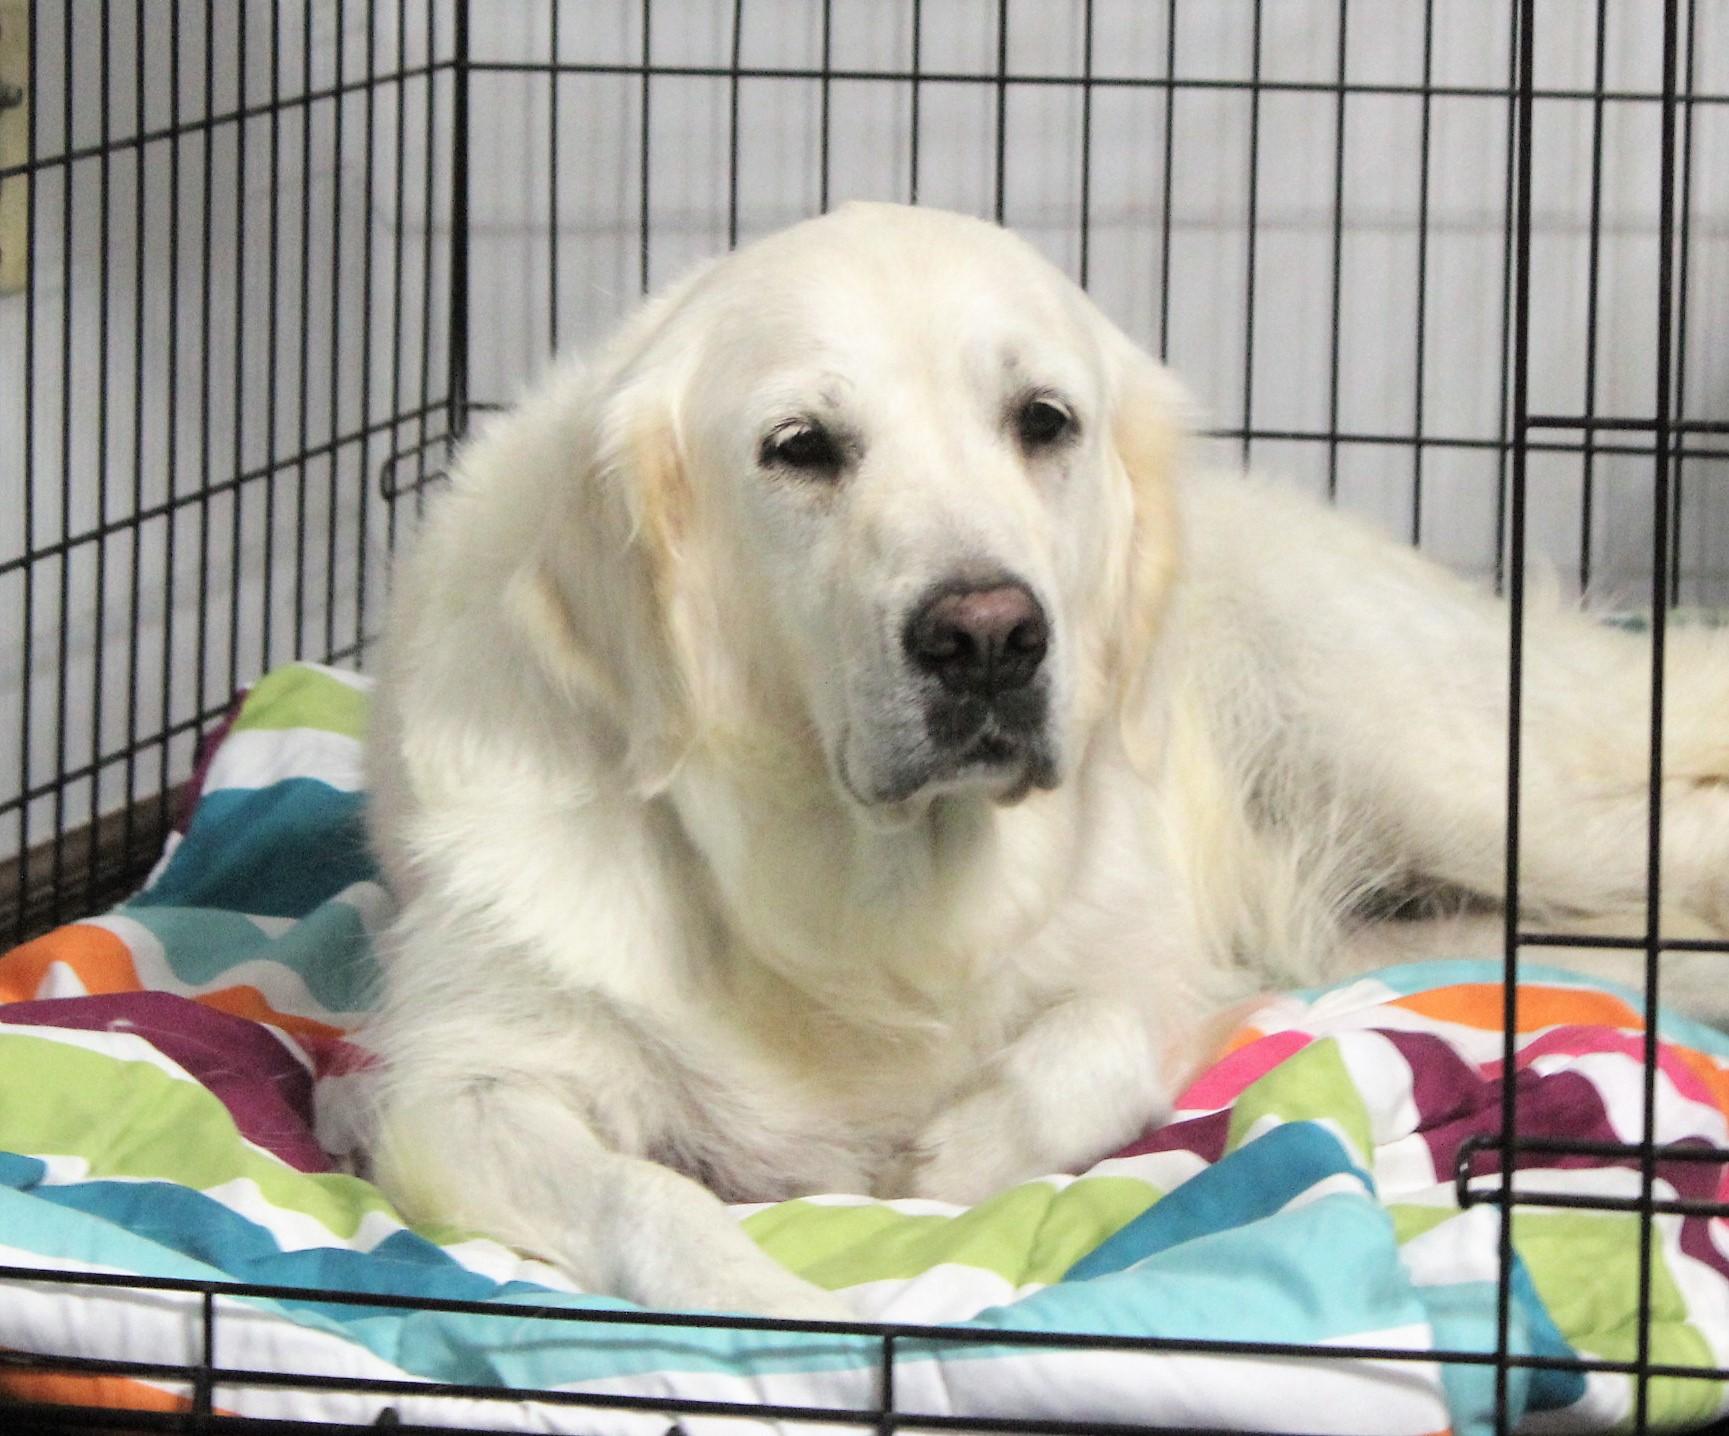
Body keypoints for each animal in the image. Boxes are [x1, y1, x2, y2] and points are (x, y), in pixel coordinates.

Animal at [360, 202, 1729, 1319]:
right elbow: (643, 1193)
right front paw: (768, 1296)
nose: (986, 638)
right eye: (799, 445)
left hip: (1452, 768)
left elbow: (1094, 1040)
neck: (860, 913)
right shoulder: (454, 1087)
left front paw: (953, 1154)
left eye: (1042, 421)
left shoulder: (1152, 953)